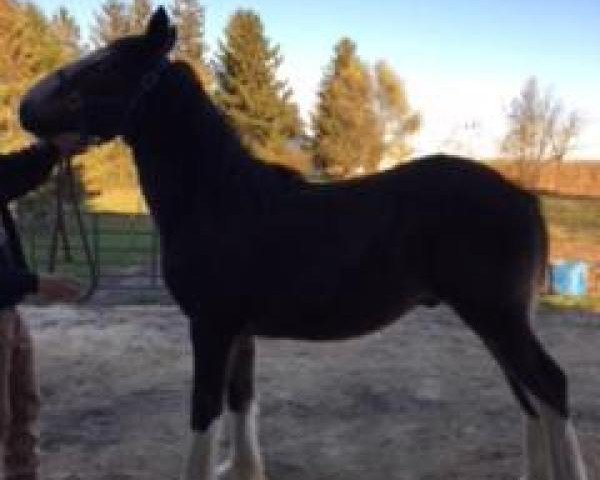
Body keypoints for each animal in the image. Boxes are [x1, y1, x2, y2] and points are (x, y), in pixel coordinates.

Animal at [18, 7, 584, 480]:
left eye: (103, 64)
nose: (25, 107)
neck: (217, 196)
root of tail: (522, 196)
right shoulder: (240, 333)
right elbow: (242, 406)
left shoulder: (211, 327)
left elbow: (205, 411)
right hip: (495, 322)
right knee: (531, 398)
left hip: (496, 317)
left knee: (550, 386)